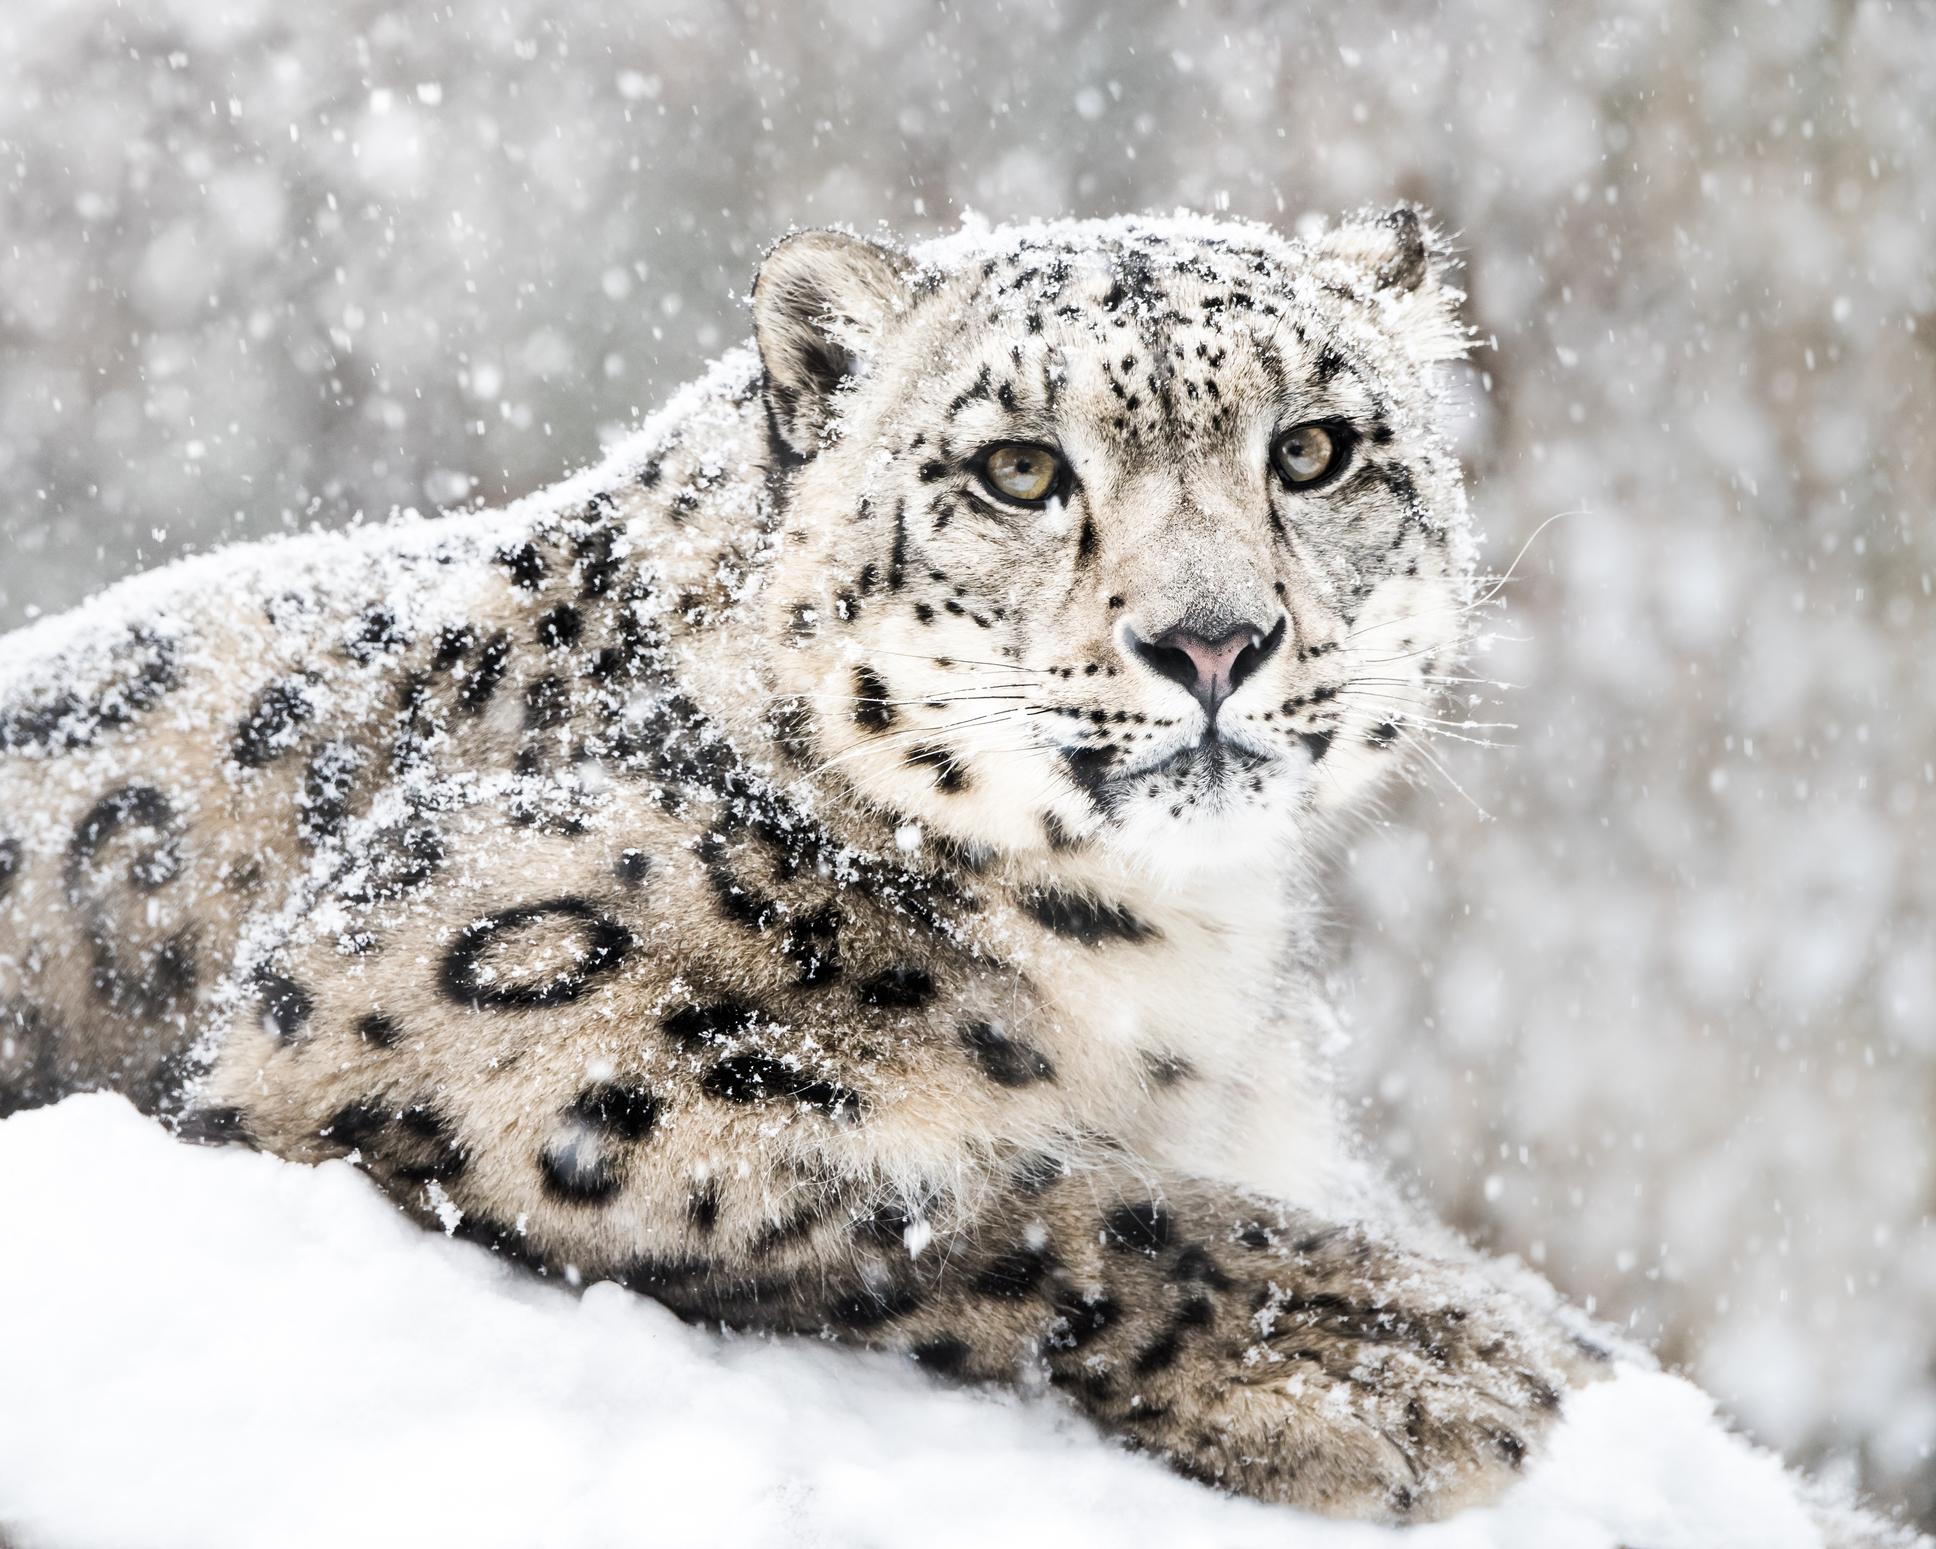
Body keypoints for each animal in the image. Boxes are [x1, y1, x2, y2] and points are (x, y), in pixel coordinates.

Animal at [3, 209, 1603, 1525]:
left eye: (1315, 448)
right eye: (1020, 468)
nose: (1212, 640)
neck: (1173, 944)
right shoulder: (433, 1002)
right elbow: (966, 1191)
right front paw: (1399, 1355)